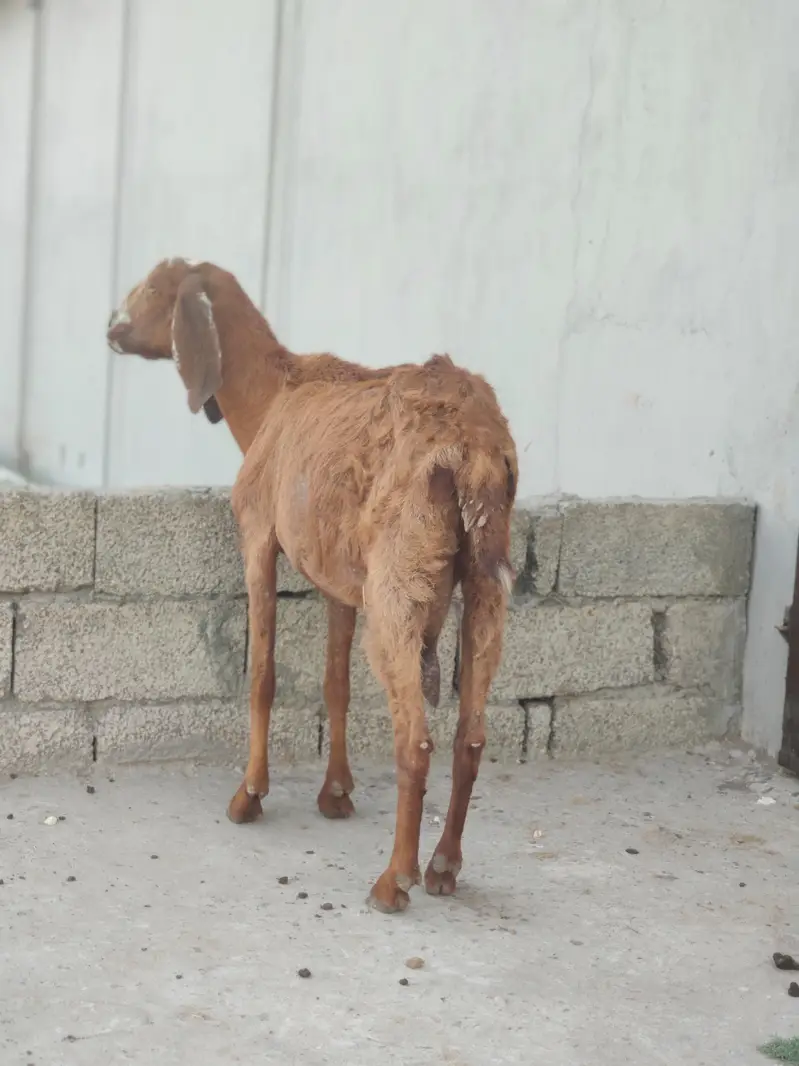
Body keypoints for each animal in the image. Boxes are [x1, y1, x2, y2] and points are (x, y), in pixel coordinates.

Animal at [107, 258, 518, 912]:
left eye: (151, 288)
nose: (112, 329)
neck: (271, 396)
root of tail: (474, 445)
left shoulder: (257, 535)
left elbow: (263, 674)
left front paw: (249, 795)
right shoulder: (337, 580)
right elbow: (335, 684)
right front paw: (336, 794)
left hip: (398, 585)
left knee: (415, 740)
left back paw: (394, 880)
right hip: (484, 585)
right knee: (470, 736)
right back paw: (444, 868)